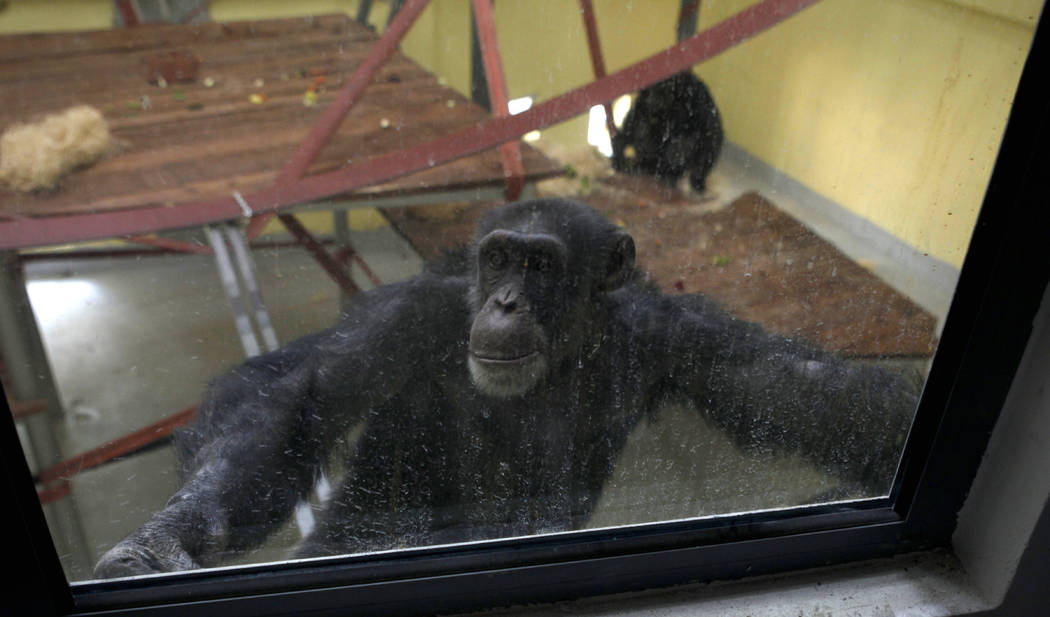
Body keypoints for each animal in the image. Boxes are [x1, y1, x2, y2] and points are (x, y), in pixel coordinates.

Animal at [96, 198, 919, 579]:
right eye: (496, 258)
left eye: (541, 264)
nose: (505, 303)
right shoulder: (419, 313)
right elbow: (302, 392)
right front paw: (161, 540)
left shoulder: (671, 333)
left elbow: (805, 391)